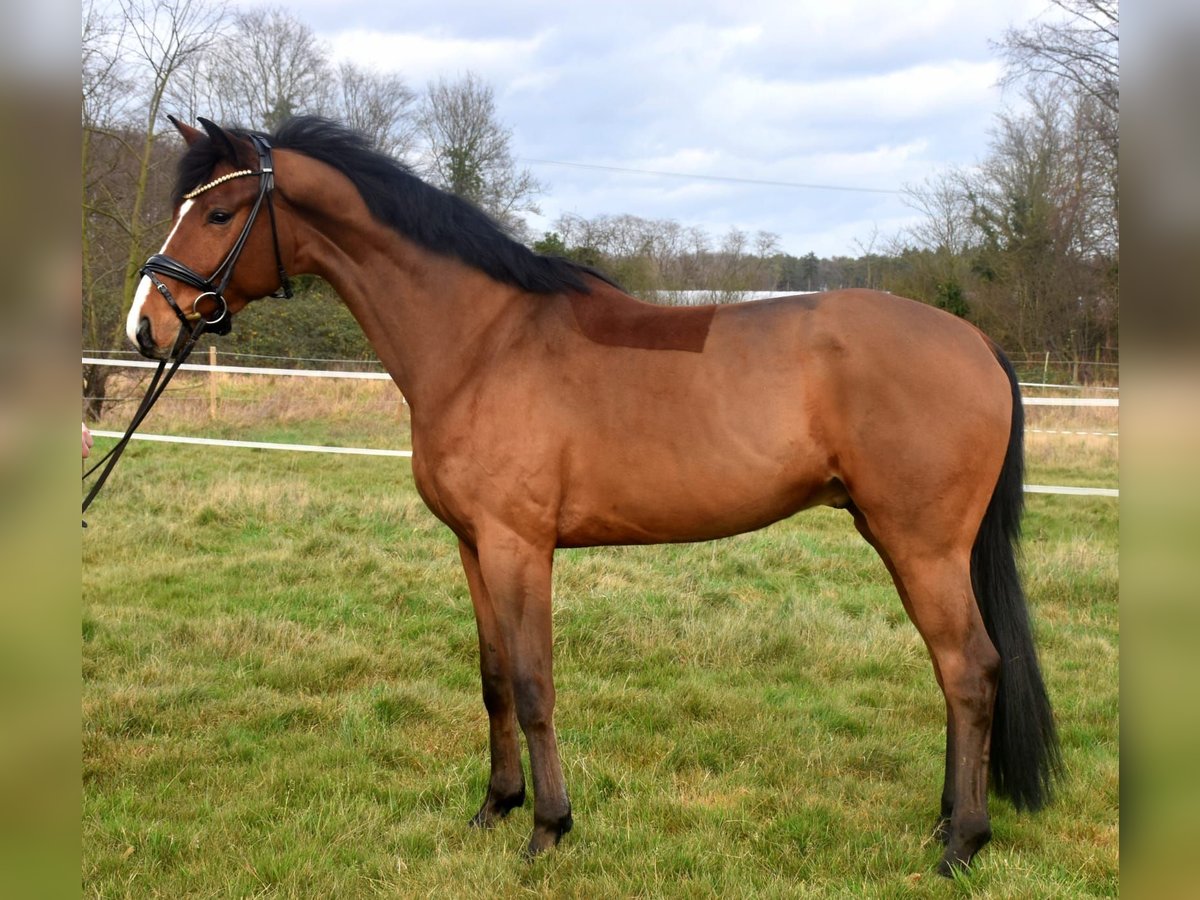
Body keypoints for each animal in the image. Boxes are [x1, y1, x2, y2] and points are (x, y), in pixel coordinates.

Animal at [124, 116, 1060, 878]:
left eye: (218, 213)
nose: (146, 326)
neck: (482, 342)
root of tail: (976, 343)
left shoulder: (519, 545)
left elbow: (534, 681)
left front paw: (547, 830)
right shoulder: (473, 545)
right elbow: (494, 677)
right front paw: (493, 809)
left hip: (923, 545)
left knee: (970, 671)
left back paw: (961, 844)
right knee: (956, 673)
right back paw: (944, 823)